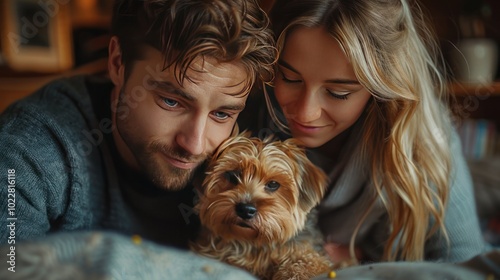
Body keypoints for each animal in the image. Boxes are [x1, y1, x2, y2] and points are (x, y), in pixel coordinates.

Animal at [191, 133, 332, 280]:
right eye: (232, 175)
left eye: (273, 184)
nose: (245, 210)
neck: (251, 243)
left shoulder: (311, 256)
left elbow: (306, 263)